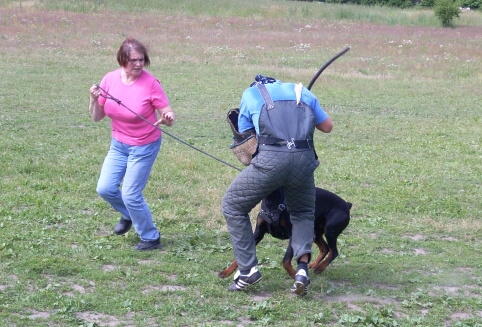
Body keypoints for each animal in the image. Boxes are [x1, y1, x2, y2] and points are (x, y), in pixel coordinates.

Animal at [218, 187, 350, 280]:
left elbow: (285, 261)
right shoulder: (258, 233)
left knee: (334, 251)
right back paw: (314, 265)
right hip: (315, 232)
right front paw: (226, 272)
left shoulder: (293, 234)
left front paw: (295, 275)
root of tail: (347, 204)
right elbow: (239, 257)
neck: (271, 202)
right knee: (325, 248)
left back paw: (320, 268)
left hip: (330, 230)